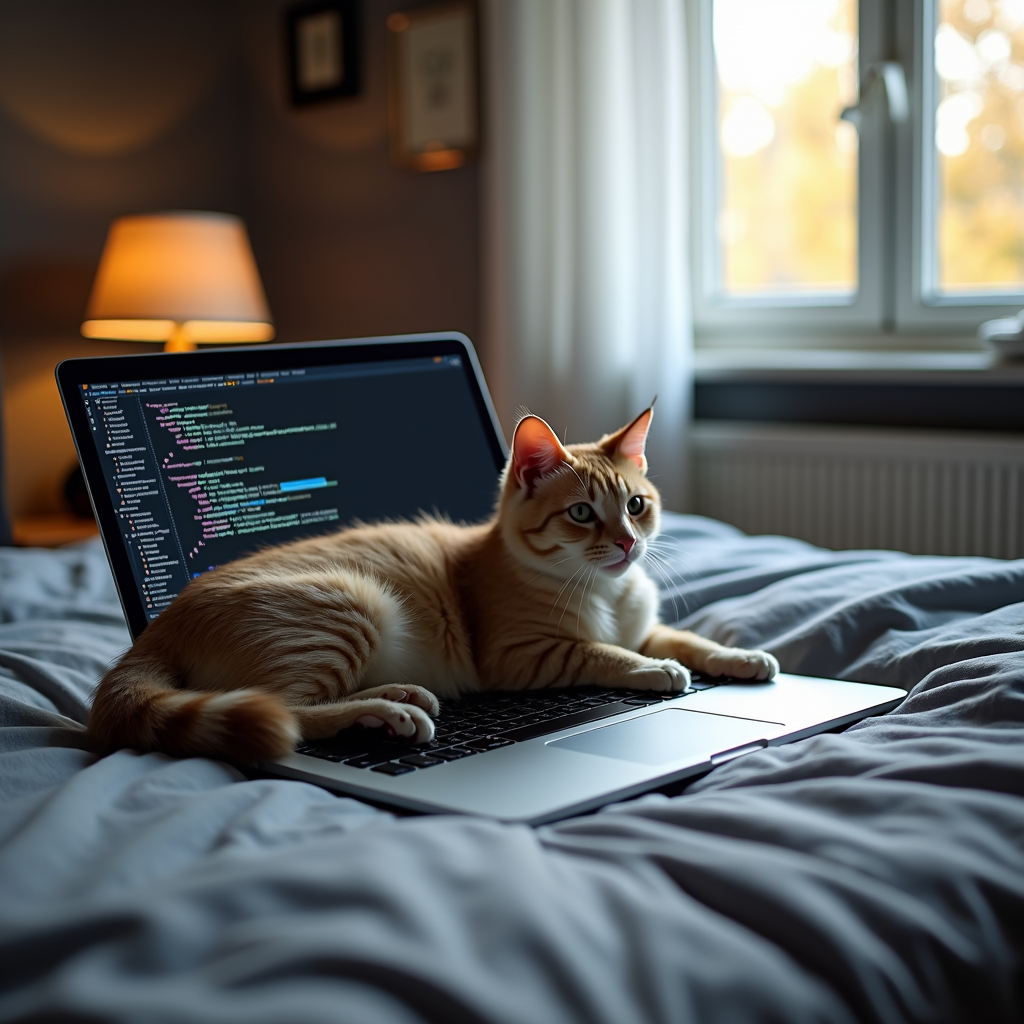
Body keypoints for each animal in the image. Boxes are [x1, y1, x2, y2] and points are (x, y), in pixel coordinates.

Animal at [90, 407, 774, 761]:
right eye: (582, 513)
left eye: (636, 505)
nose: (630, 544)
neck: (608, 592)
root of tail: (155, 630)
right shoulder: (521, 655)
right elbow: (606, 652)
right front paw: (654, 670)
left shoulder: (646, 625)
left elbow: (687, 639)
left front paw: (740, 657)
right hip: (351, 604)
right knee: (287, 711)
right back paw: (387, 713)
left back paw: (400, 695)